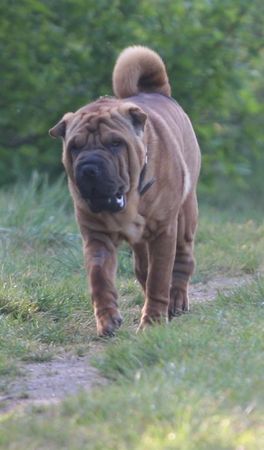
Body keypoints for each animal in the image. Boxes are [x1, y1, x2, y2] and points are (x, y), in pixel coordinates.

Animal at [49, 45, 201, 336]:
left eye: (115, 143)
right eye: (75, 146)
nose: (89, 167)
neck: (129, 198)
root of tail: (158, 92)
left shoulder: (164, 231)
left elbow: (159, 277)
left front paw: (153, 321)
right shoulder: (96, 236)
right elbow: (99, 278)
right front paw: (107, 319)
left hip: (186, 215)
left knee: (182, 261)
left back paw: (176, 300)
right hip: (141, 241)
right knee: (142, 268)